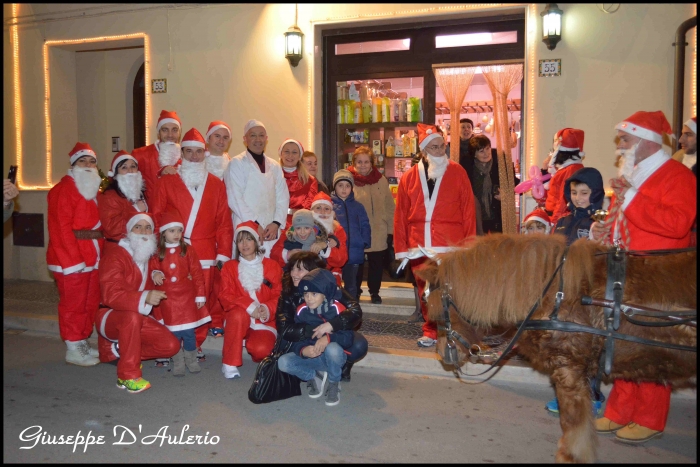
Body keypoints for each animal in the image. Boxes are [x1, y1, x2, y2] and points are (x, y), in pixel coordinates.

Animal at [416, 236, 696, 466]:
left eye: (437, 308)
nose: (443, 353)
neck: (553, 294)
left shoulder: (569, 370)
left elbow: (573, 422)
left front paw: (572, 455)